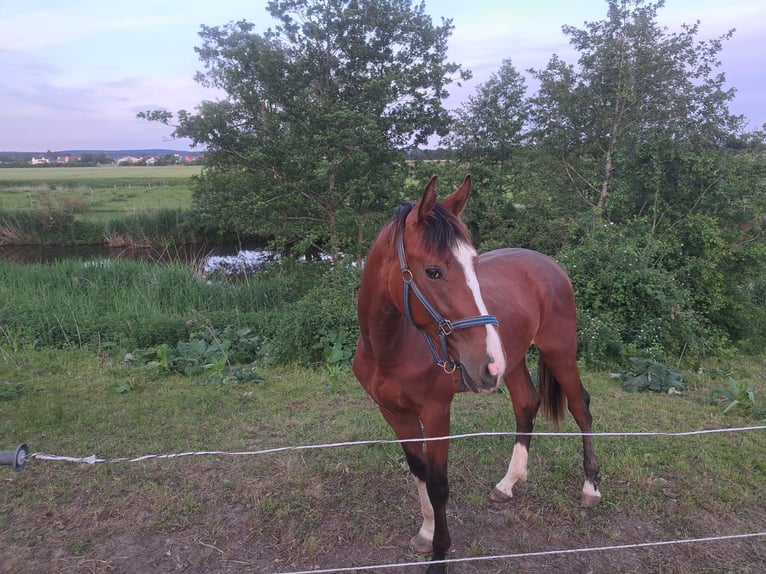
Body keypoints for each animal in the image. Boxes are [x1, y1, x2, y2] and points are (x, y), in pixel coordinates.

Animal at [352, 176, 604, 574]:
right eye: (433, 270)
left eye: (474, 262)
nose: (486, 362)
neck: (390, 347)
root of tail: (551, 264)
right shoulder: (394, 412)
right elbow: (418, 470)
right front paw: (426, 533)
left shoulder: (436, 412)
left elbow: (439, 484)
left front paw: (439, 556)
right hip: (512, 363)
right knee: (526, 405)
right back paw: (508, 483)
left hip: (558, 352)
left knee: (581, 406)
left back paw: (591, 487)